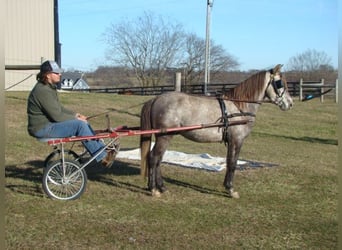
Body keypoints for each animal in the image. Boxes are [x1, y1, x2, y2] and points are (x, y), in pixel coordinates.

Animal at [140, 63, 292, 198]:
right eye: (279, 83)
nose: (290, 103)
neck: (239, 106)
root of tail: (156, 99)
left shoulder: (231, 141)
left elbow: (229, 161)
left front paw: (227, 186)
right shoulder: (237, 140)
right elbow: (233, 163)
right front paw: (231, 189)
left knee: (158, 159)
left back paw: (161, 187)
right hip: (164, 136)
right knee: (154, 158)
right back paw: (153, 189)